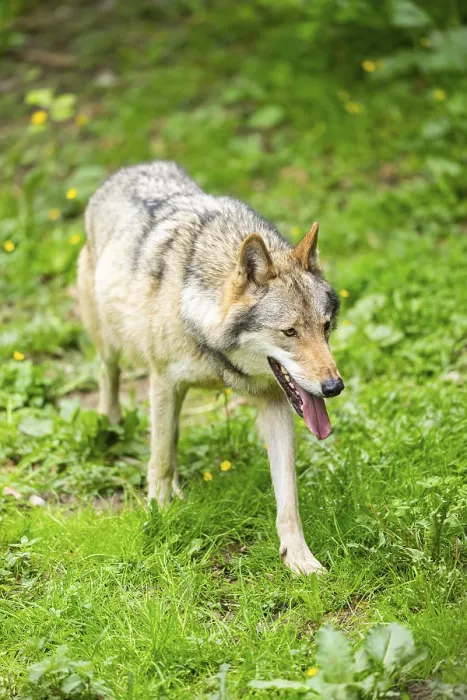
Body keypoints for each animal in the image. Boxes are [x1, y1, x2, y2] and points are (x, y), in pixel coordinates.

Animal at [78, 161, 344, 575]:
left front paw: (299, 560)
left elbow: (288, 496)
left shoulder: (274, 402)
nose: (333, 387)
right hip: (110, 341)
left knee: (171, 435)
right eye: (289, 331)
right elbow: (159, 463)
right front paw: (157, 519)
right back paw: (111, 426)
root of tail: (134, 167)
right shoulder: (162, 381)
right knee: (110, 375)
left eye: (326, 326)